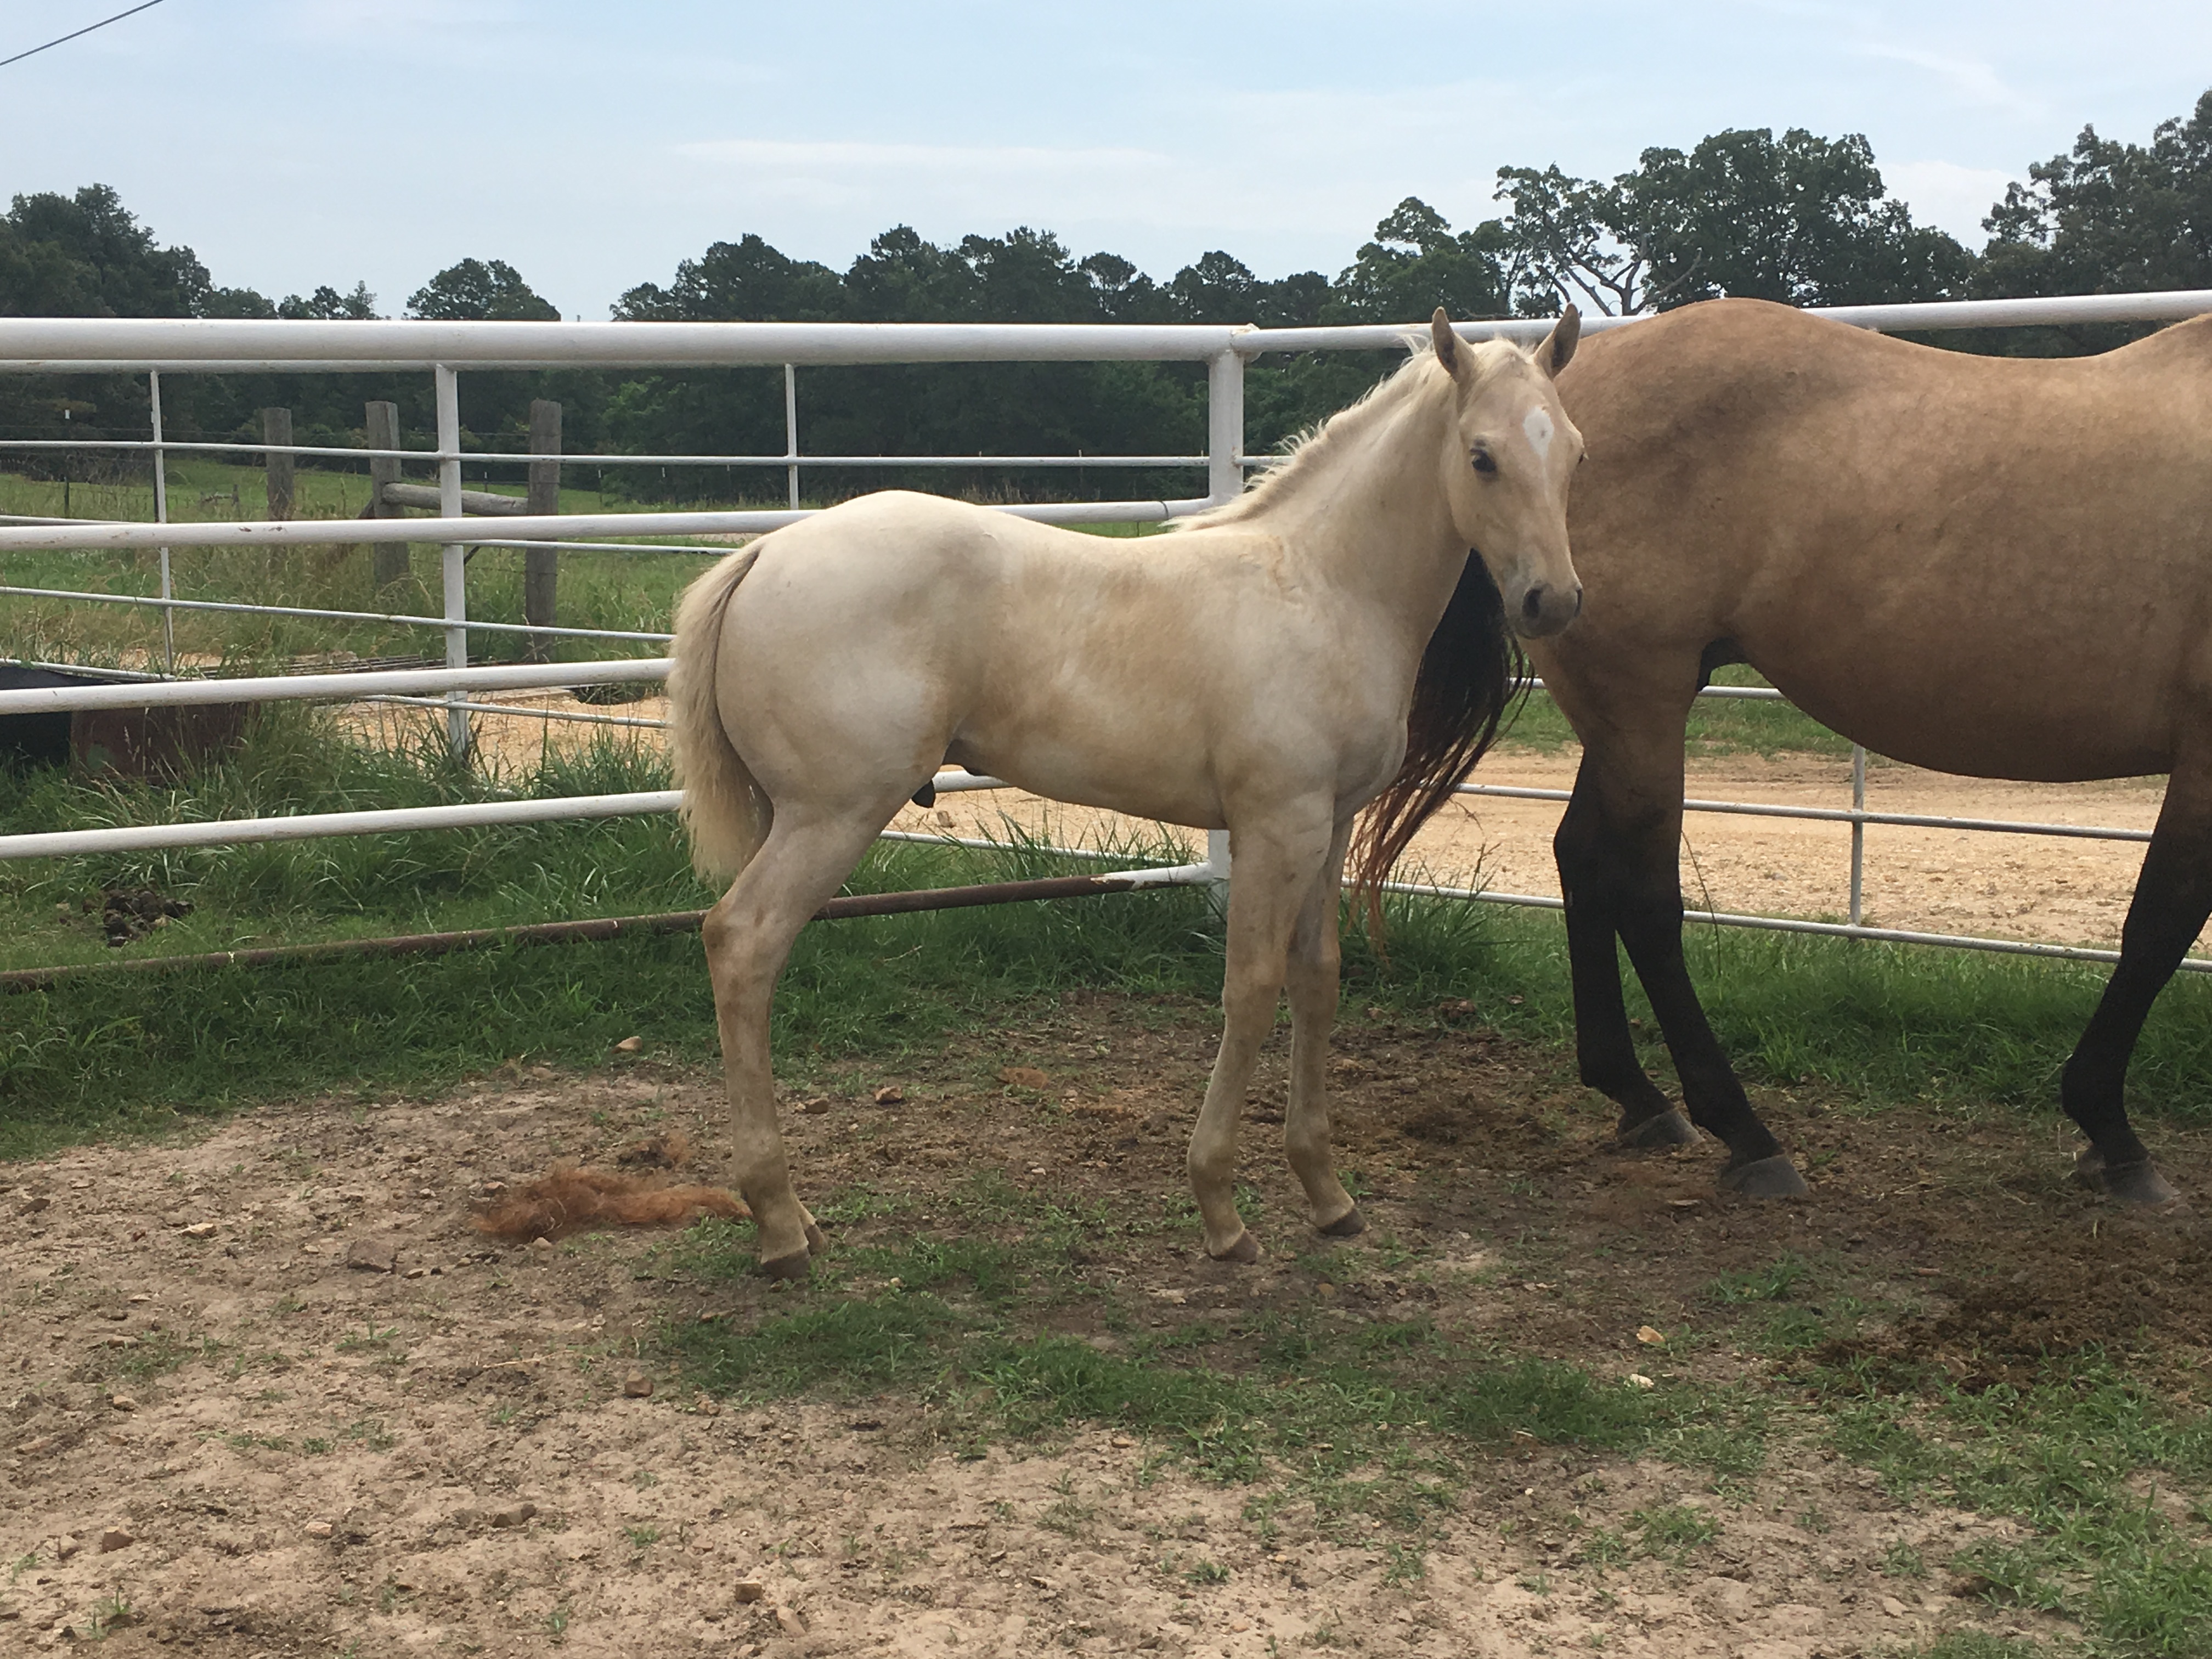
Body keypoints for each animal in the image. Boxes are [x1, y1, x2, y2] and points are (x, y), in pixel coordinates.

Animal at [668, 308, 1585, 1277]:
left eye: (1574, 451)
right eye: (1482, 456)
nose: (1552, 602)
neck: (1322, 587)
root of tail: (765, 551)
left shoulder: (1330, 824)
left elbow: (1318, 980)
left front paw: (1328, 1195)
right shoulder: (1277, 824)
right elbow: (1252, 989)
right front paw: (1221, 1209)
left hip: (799, 815)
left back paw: (796, 1219)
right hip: (833, 815)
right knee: (742, 943)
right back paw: (778, 1225)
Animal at [1494, 297, 2209, 1206]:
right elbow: (2159, 928)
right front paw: (2112, 1135)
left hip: (1631, 710)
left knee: (1583, 859)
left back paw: (1641, 1099)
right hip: (1640, 698)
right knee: (1644, 896)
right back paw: (1746, 1134)